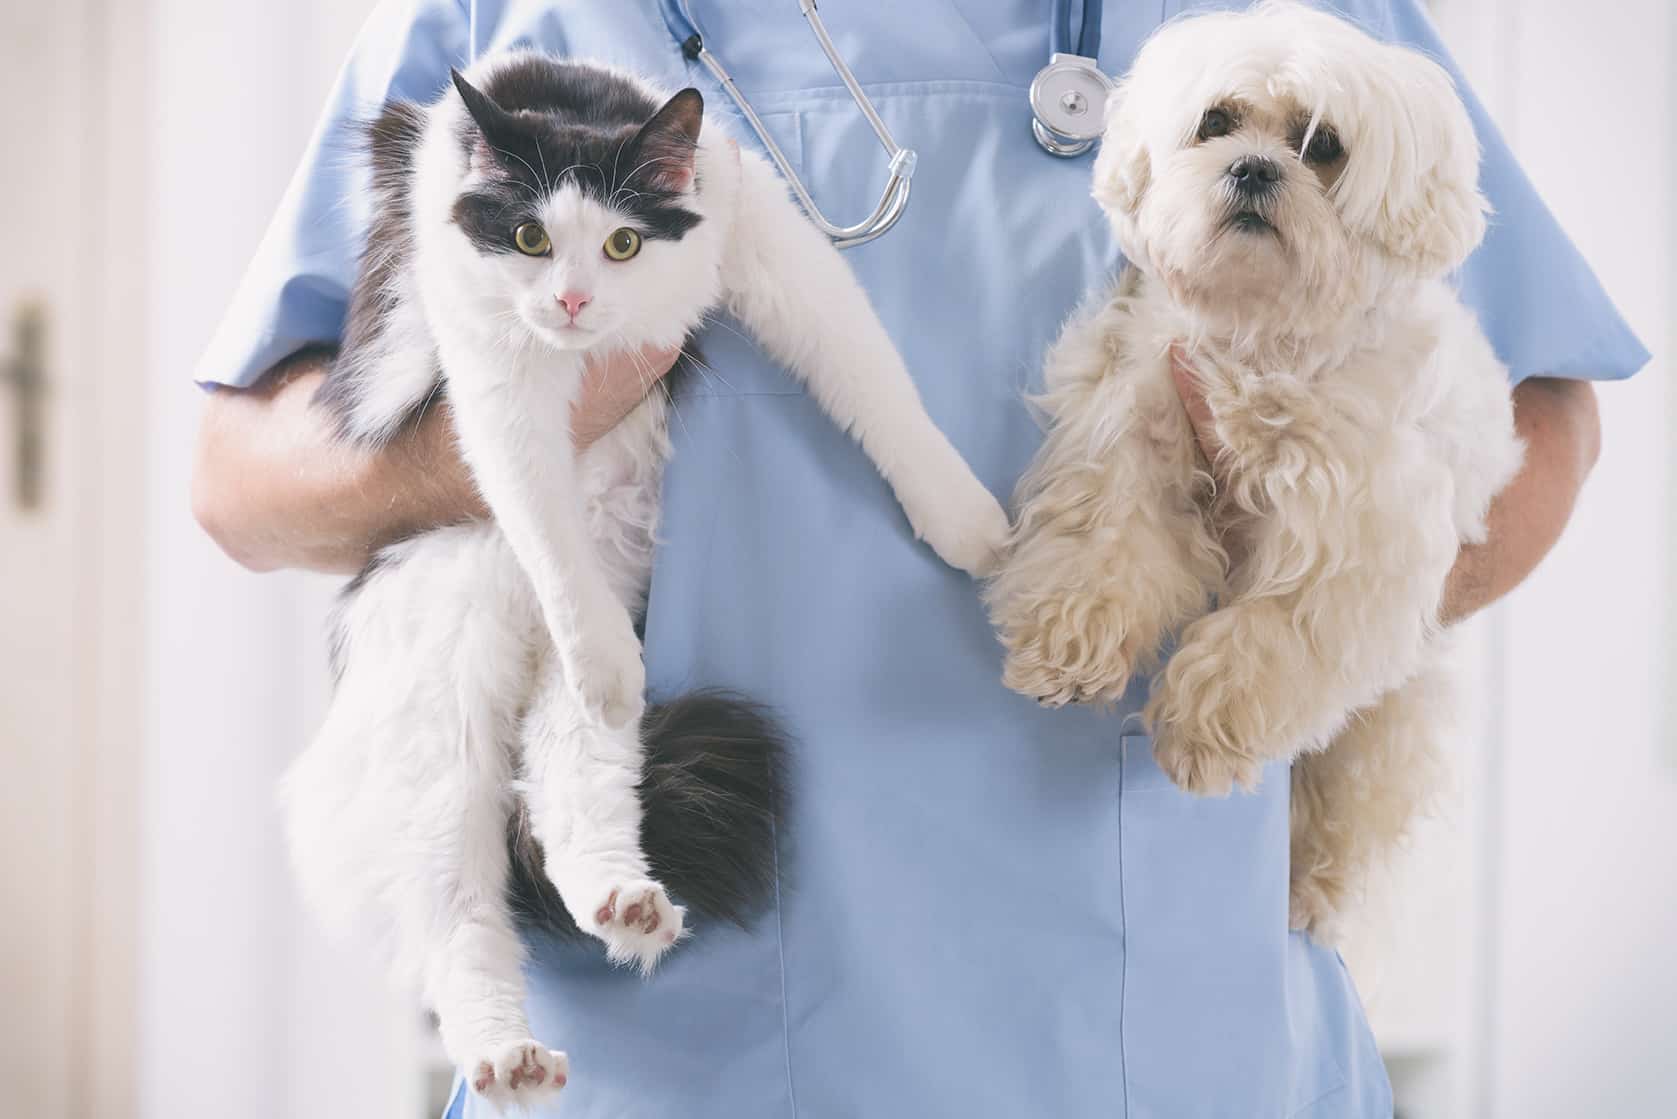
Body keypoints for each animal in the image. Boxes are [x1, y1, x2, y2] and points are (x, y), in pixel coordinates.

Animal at [280, 54, 1006, 1113]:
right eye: (531, 237)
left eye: (623, 242)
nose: (574, 302)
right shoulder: (495, 371)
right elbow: (539, 513)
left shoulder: (762, 236)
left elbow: (875, 382)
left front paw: (964, 522)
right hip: (439, 715)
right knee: (458, 915)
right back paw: (506, 1052)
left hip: (572, 699)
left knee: (570, 788)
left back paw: (623, 904)